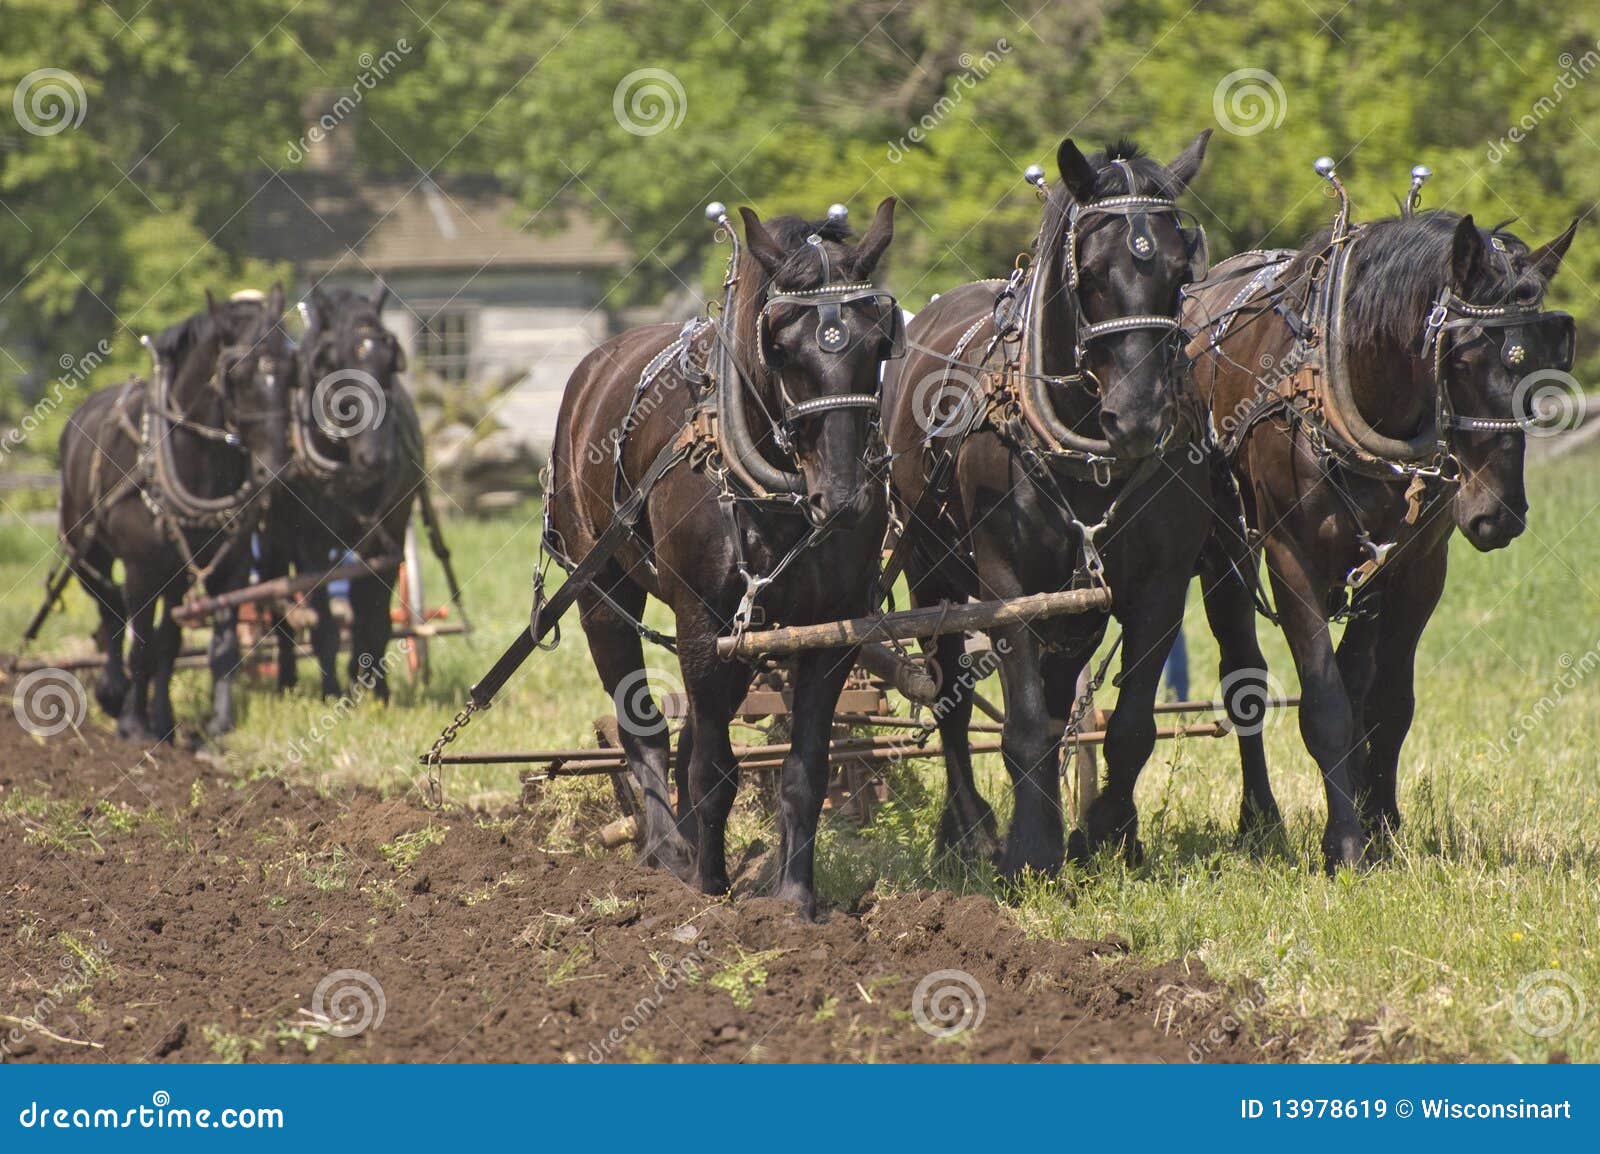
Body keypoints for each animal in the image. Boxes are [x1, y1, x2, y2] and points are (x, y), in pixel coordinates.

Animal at [57, 286, 296, 740]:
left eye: (293, 368)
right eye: (236, 372)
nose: (274, 468)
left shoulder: (230, 567)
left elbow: (212, 645)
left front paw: (214, 723)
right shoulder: (140, 568)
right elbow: (140, 643)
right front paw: (133, 724)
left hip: (176, 574)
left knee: (161, 635)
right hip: (86, 551)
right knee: (110, 611)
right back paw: (113, 692)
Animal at [261, 279, 422, 703]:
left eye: (389, 362)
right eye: (332, 364)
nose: (376, 458)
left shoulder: (387, 537)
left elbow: (374, 616)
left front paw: (376, 690)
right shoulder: (310, 546)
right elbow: (324, 624)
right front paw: (332, 693)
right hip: (272, 542)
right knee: (276, 603)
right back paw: (286, 680)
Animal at [547, 199, 899, 918]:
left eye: (881, 342)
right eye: (782, 348)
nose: (843, 498)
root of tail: (596, 366)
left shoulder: (831, 630)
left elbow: (803, 769)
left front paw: (795, 900)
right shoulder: (702, 622)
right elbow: (711, 769)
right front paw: (706, 891)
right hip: (603, 593)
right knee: (648, 731)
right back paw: (667, 855)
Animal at [880, 133, 1215, 878]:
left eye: (1181, 272)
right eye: (1090, 274)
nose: (1139, 419)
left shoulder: (1159, 584)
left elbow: (1129, 727)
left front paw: (1108, 834)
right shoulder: (1007, 584)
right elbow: (1026, 726)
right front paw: (1029, 851)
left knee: (1063, 698)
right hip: (929, 569)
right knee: (949, 699)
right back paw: (970, 831)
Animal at [1183, 206, 1578, 869]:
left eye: (1545, 363)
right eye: (1461, 360)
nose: (1498, 515)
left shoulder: (1415, 567)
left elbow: (1386, 702)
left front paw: (1383, 826)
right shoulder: (1290, 558)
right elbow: (1326, 703)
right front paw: (1345, 844)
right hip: (1222, 551)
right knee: (1244, 677)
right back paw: (1260, 820)